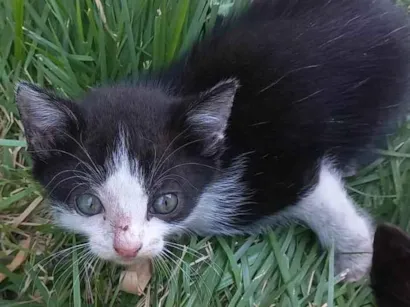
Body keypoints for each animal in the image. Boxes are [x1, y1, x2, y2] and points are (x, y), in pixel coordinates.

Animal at [14, 0, 408, 282]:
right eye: (87, 203)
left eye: (166, 202)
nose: (127, 248)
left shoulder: (287, 160)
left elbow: (321, 194)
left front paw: (354, 262)